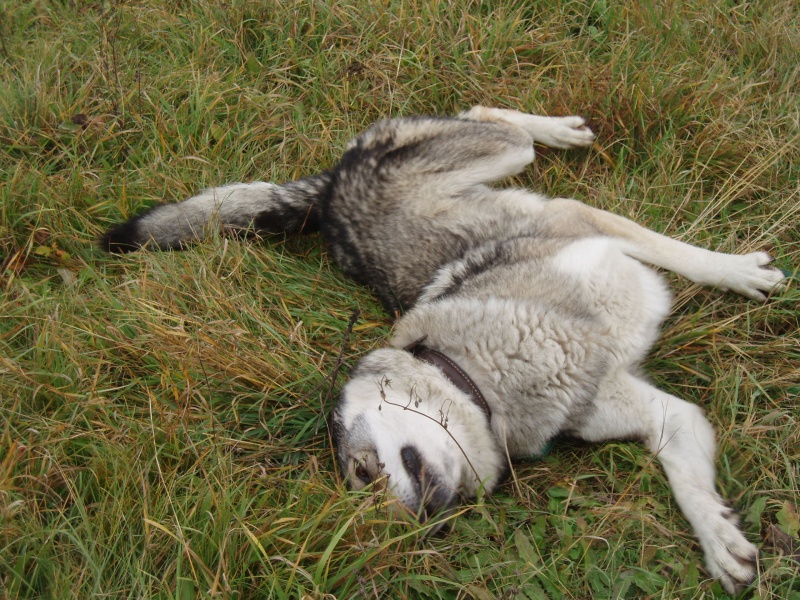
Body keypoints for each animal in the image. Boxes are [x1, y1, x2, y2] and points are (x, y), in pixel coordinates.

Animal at [101, 106, 788, 592]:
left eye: (362, 472)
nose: (416, 522)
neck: (485, 377)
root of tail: (329, 195)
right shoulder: (658, 412)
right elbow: (689, 486)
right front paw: (720, 542)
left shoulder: (582, 224)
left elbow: (687, 256)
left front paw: (738, 272)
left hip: (500, 153)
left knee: (493, 116)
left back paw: (559, 130)